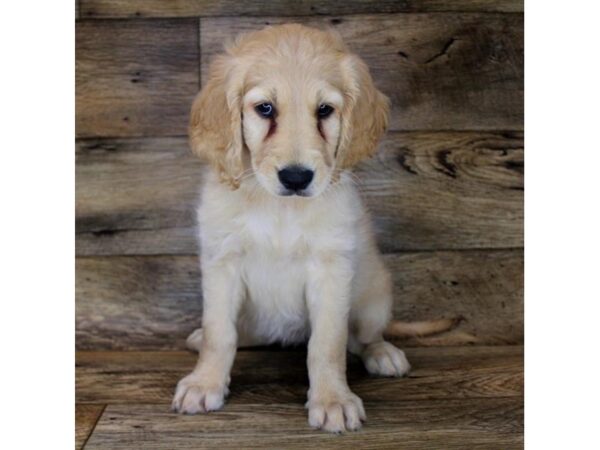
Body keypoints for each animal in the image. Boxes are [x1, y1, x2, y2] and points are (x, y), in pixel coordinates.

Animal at [171, 23, 410, 432]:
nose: (297, 178)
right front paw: (205, 383)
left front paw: (333, 399)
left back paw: (383, 353)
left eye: (325, 110)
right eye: (265, 108)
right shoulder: (223, 263)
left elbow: (327, 344)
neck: (279, 209)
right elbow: (221, 333)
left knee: (362, 337)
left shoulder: (331, 269)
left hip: (374, 299)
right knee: (238, 333)